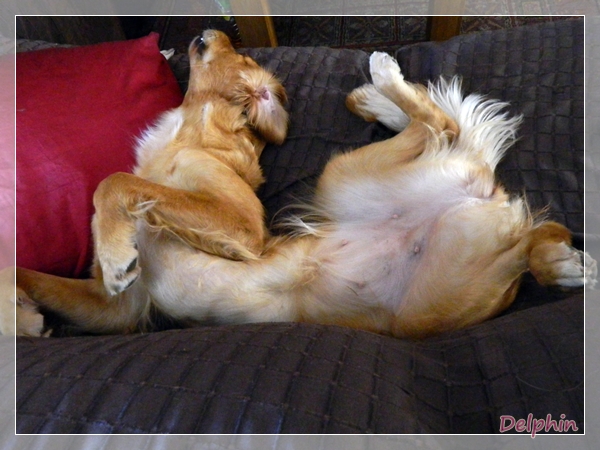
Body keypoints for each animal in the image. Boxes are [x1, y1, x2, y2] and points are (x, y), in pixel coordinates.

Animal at [1, 45, 595, 339]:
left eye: (239, 54)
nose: (208, 30)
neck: (191, 133)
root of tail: (480, 193)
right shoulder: (119, 308)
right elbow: (27, 272)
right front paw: (23, 315)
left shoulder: (244, 228)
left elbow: (117, 183)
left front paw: (115, 246)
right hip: (406, 231)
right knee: (516, 217)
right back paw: (562, 260)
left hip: (395, 253)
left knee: (442, 125)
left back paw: (383, 78)